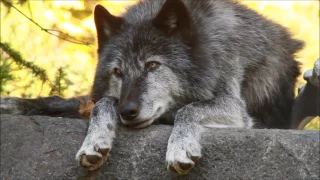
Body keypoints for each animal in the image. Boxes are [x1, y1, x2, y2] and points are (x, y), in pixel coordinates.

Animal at [0, 0, 304, 175]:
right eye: (118, 72)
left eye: (153, 65)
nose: (127, 112)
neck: (203, 50)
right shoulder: (105, 97)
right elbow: (98, 102)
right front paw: (94, 140)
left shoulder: (236, 108)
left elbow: (188, 109)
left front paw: (180, 146)